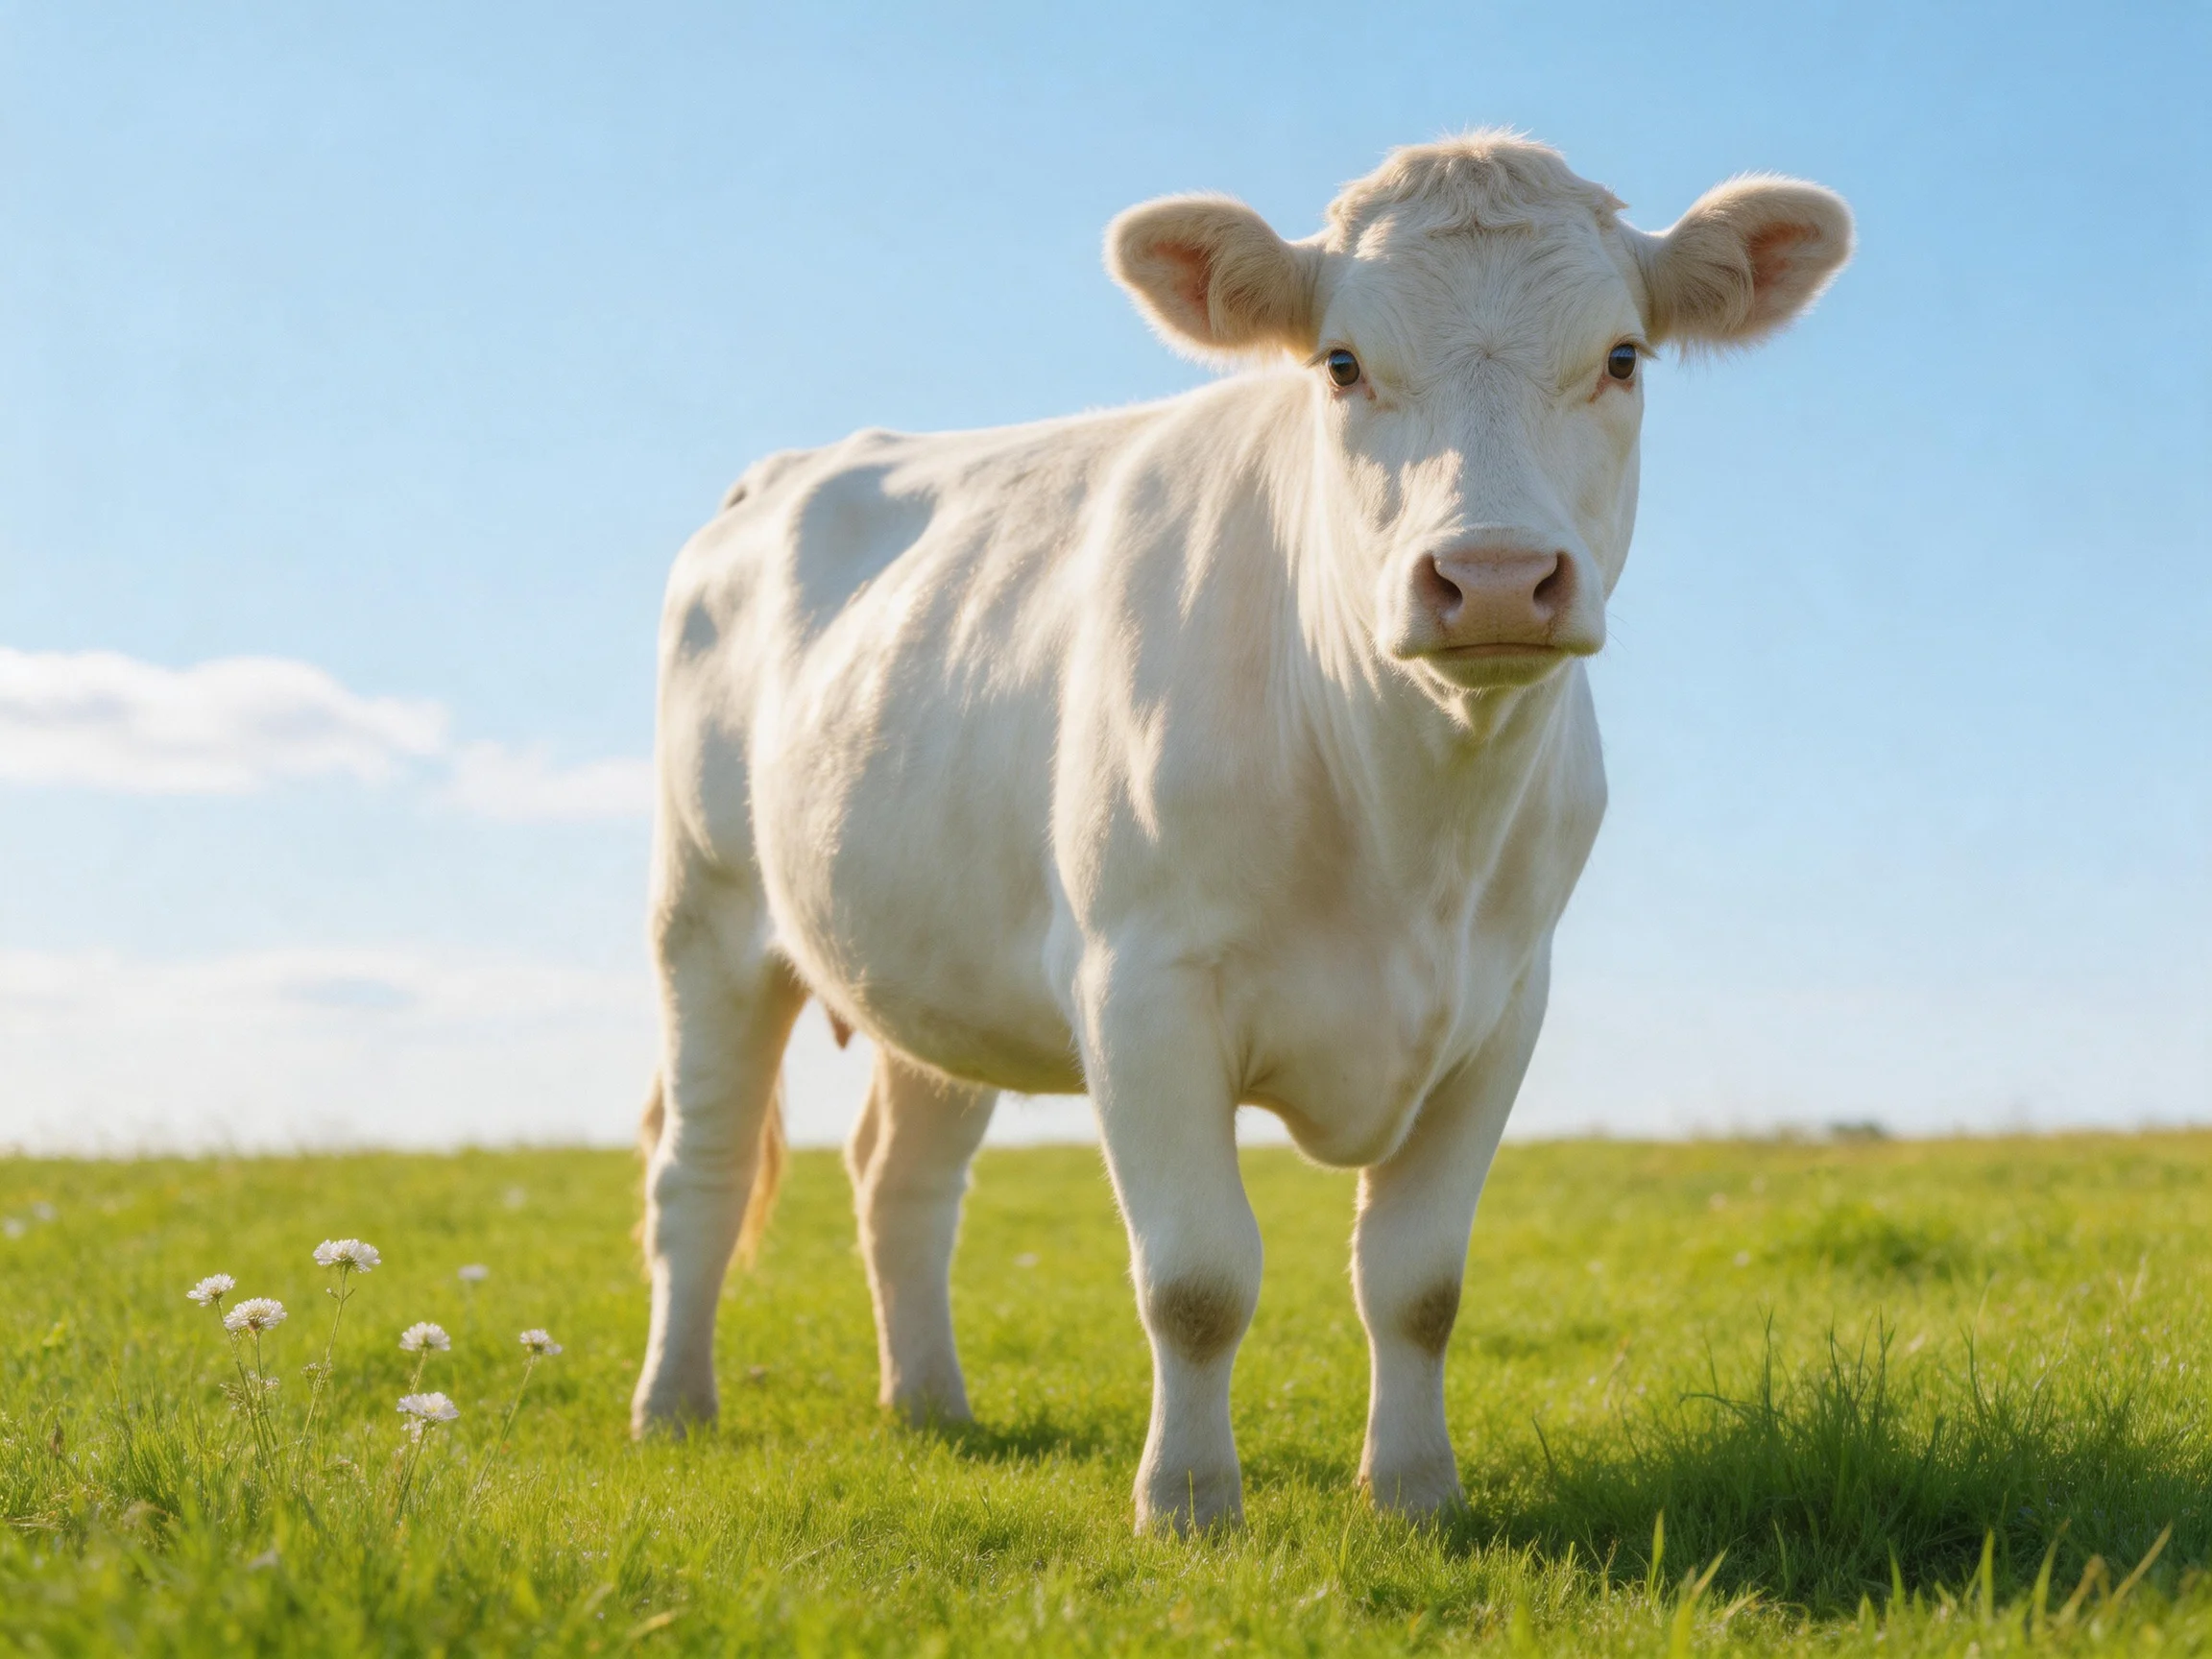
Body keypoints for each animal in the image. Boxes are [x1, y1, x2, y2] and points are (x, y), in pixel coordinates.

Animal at [630, 131, 1852, 1532]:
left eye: (1623, 357)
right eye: (1341, 362)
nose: (1492, 577)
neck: (1409, 826)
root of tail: (784, 471)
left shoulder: (1505, 1005)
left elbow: (1419, 1283)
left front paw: (1416, 1492)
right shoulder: (1138, 987)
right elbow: (1197, 1279)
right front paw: (1190, 1503)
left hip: (932, 962)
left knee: (904, 1181)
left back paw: (931, 1405)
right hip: (708, 914)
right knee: (701, 1173)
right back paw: (672, 1409)